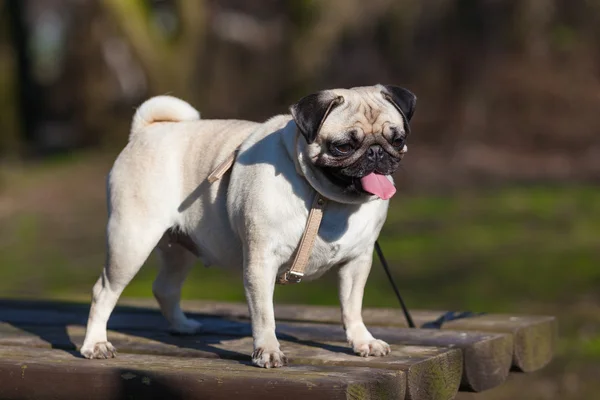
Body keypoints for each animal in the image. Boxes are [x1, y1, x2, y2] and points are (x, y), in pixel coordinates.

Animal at [79, 84, 418, 368]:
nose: (376, 152)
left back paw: (183, 326)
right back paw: (95, 344)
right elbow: (264, 314)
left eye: (398, 139)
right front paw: (267, 351)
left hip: (180, 248)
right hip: (131, 242)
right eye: (343, 146)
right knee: (103, 292)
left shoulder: (357, 261)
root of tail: (145, 131)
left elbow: (352, 307)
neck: (326, 199)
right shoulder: (260, 261)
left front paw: (362, 341)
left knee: (165, 287)